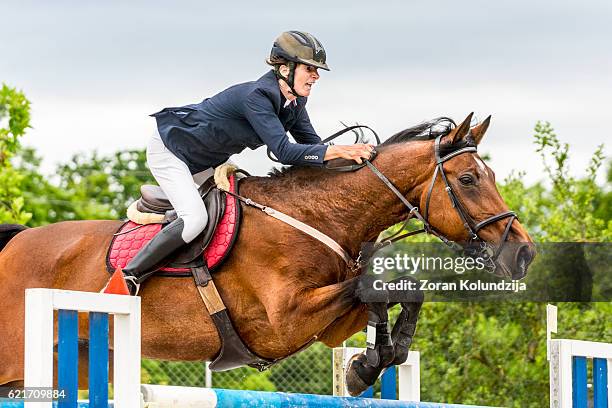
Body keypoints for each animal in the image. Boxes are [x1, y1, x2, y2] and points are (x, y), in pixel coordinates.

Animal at [0, 113, 536, 394]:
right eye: (468, 179)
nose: (524, 253)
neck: (319, 216)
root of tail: (14, 242)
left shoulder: (324, 326)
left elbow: (396, 292)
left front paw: (370, 363)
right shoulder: (283, 322)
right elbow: (381, 287)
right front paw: (370, 363)